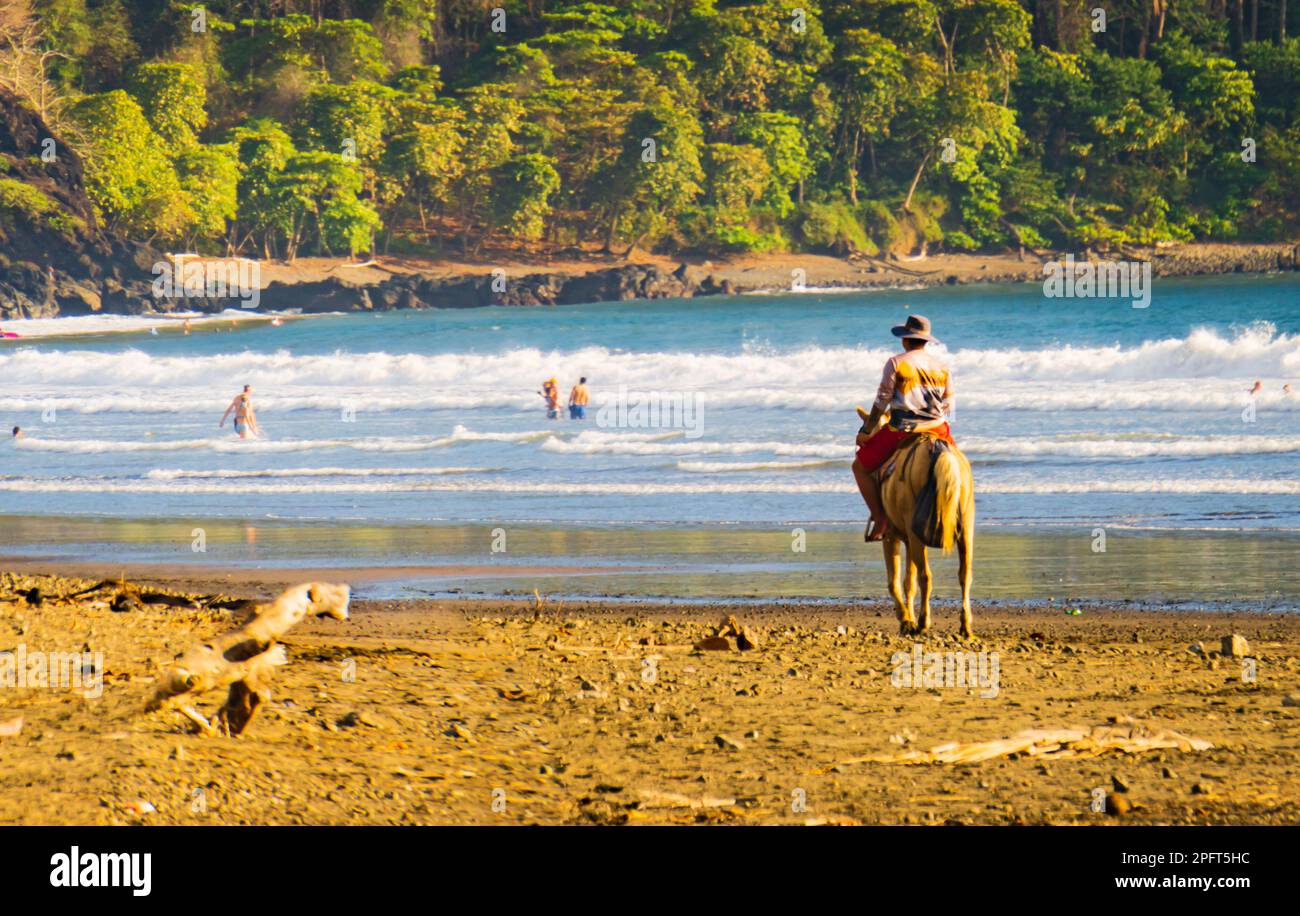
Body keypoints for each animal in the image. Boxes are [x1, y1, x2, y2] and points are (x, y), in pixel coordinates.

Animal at [852, 405, 977, 636]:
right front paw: (907, 618)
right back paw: (965, 625)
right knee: (965, 575)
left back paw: (922, 622)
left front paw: (905, 619)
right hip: (965, 531)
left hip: (916, 535)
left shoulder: (891, 537)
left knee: (926, 576)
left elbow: (895, 581)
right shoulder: (908, 540)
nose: (860, 439)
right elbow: (909, 582)